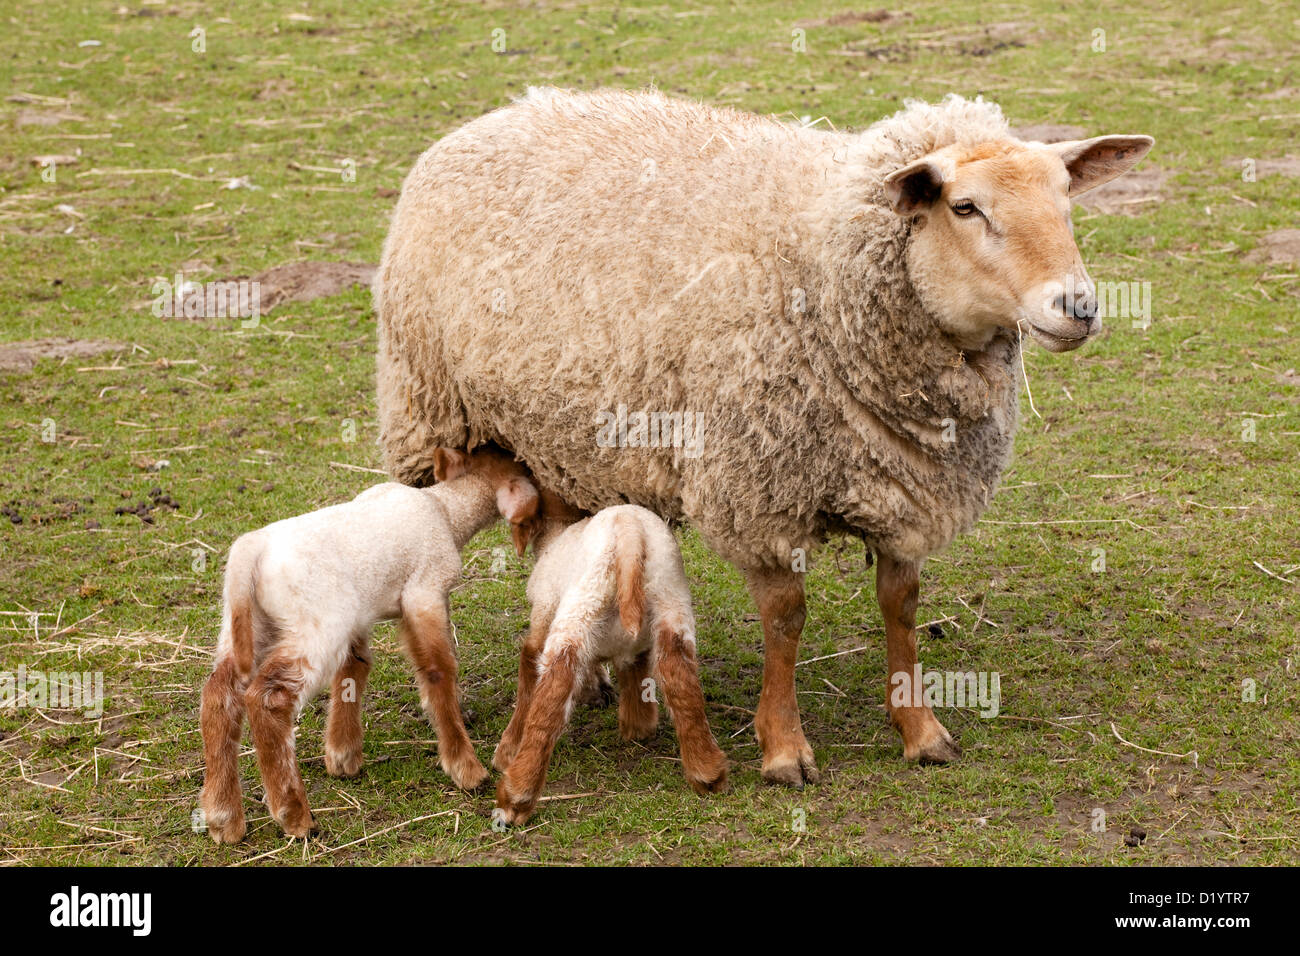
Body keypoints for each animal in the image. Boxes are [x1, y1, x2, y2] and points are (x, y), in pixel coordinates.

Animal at [193, 444, 538, 842]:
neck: (446, 509)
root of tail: (251, 551)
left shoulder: (360, 615)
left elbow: (354, 668)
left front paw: (343, 755)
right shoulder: (425, 591)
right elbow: (439, 669)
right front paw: (465, 767)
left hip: (248, 628)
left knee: (219, 696)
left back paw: (223, 816)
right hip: (316, 626)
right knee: (268, 699)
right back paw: (293, 814)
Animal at [371, 87, 1154, 785]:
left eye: (1066, 196)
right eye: (965, 207)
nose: (1077, 307)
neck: (826, 266)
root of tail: (497, 113)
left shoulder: (903, 489)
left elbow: (900, 607)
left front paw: (920, 730)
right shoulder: (759, 489)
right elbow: (785, 619)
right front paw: (783, 748)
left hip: (565, 437)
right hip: (442, 414)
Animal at [488, 496, 728, 827]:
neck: (554, 536)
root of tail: (630, 533)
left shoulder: (543, 616)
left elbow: (528, 673)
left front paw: (507, 750)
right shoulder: (636, 648)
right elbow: (635, 673)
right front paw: (638, 725)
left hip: (580, 606)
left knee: (553, 691)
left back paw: (516, 796)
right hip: (671, 602)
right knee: (682, 682)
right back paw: (707, 772)